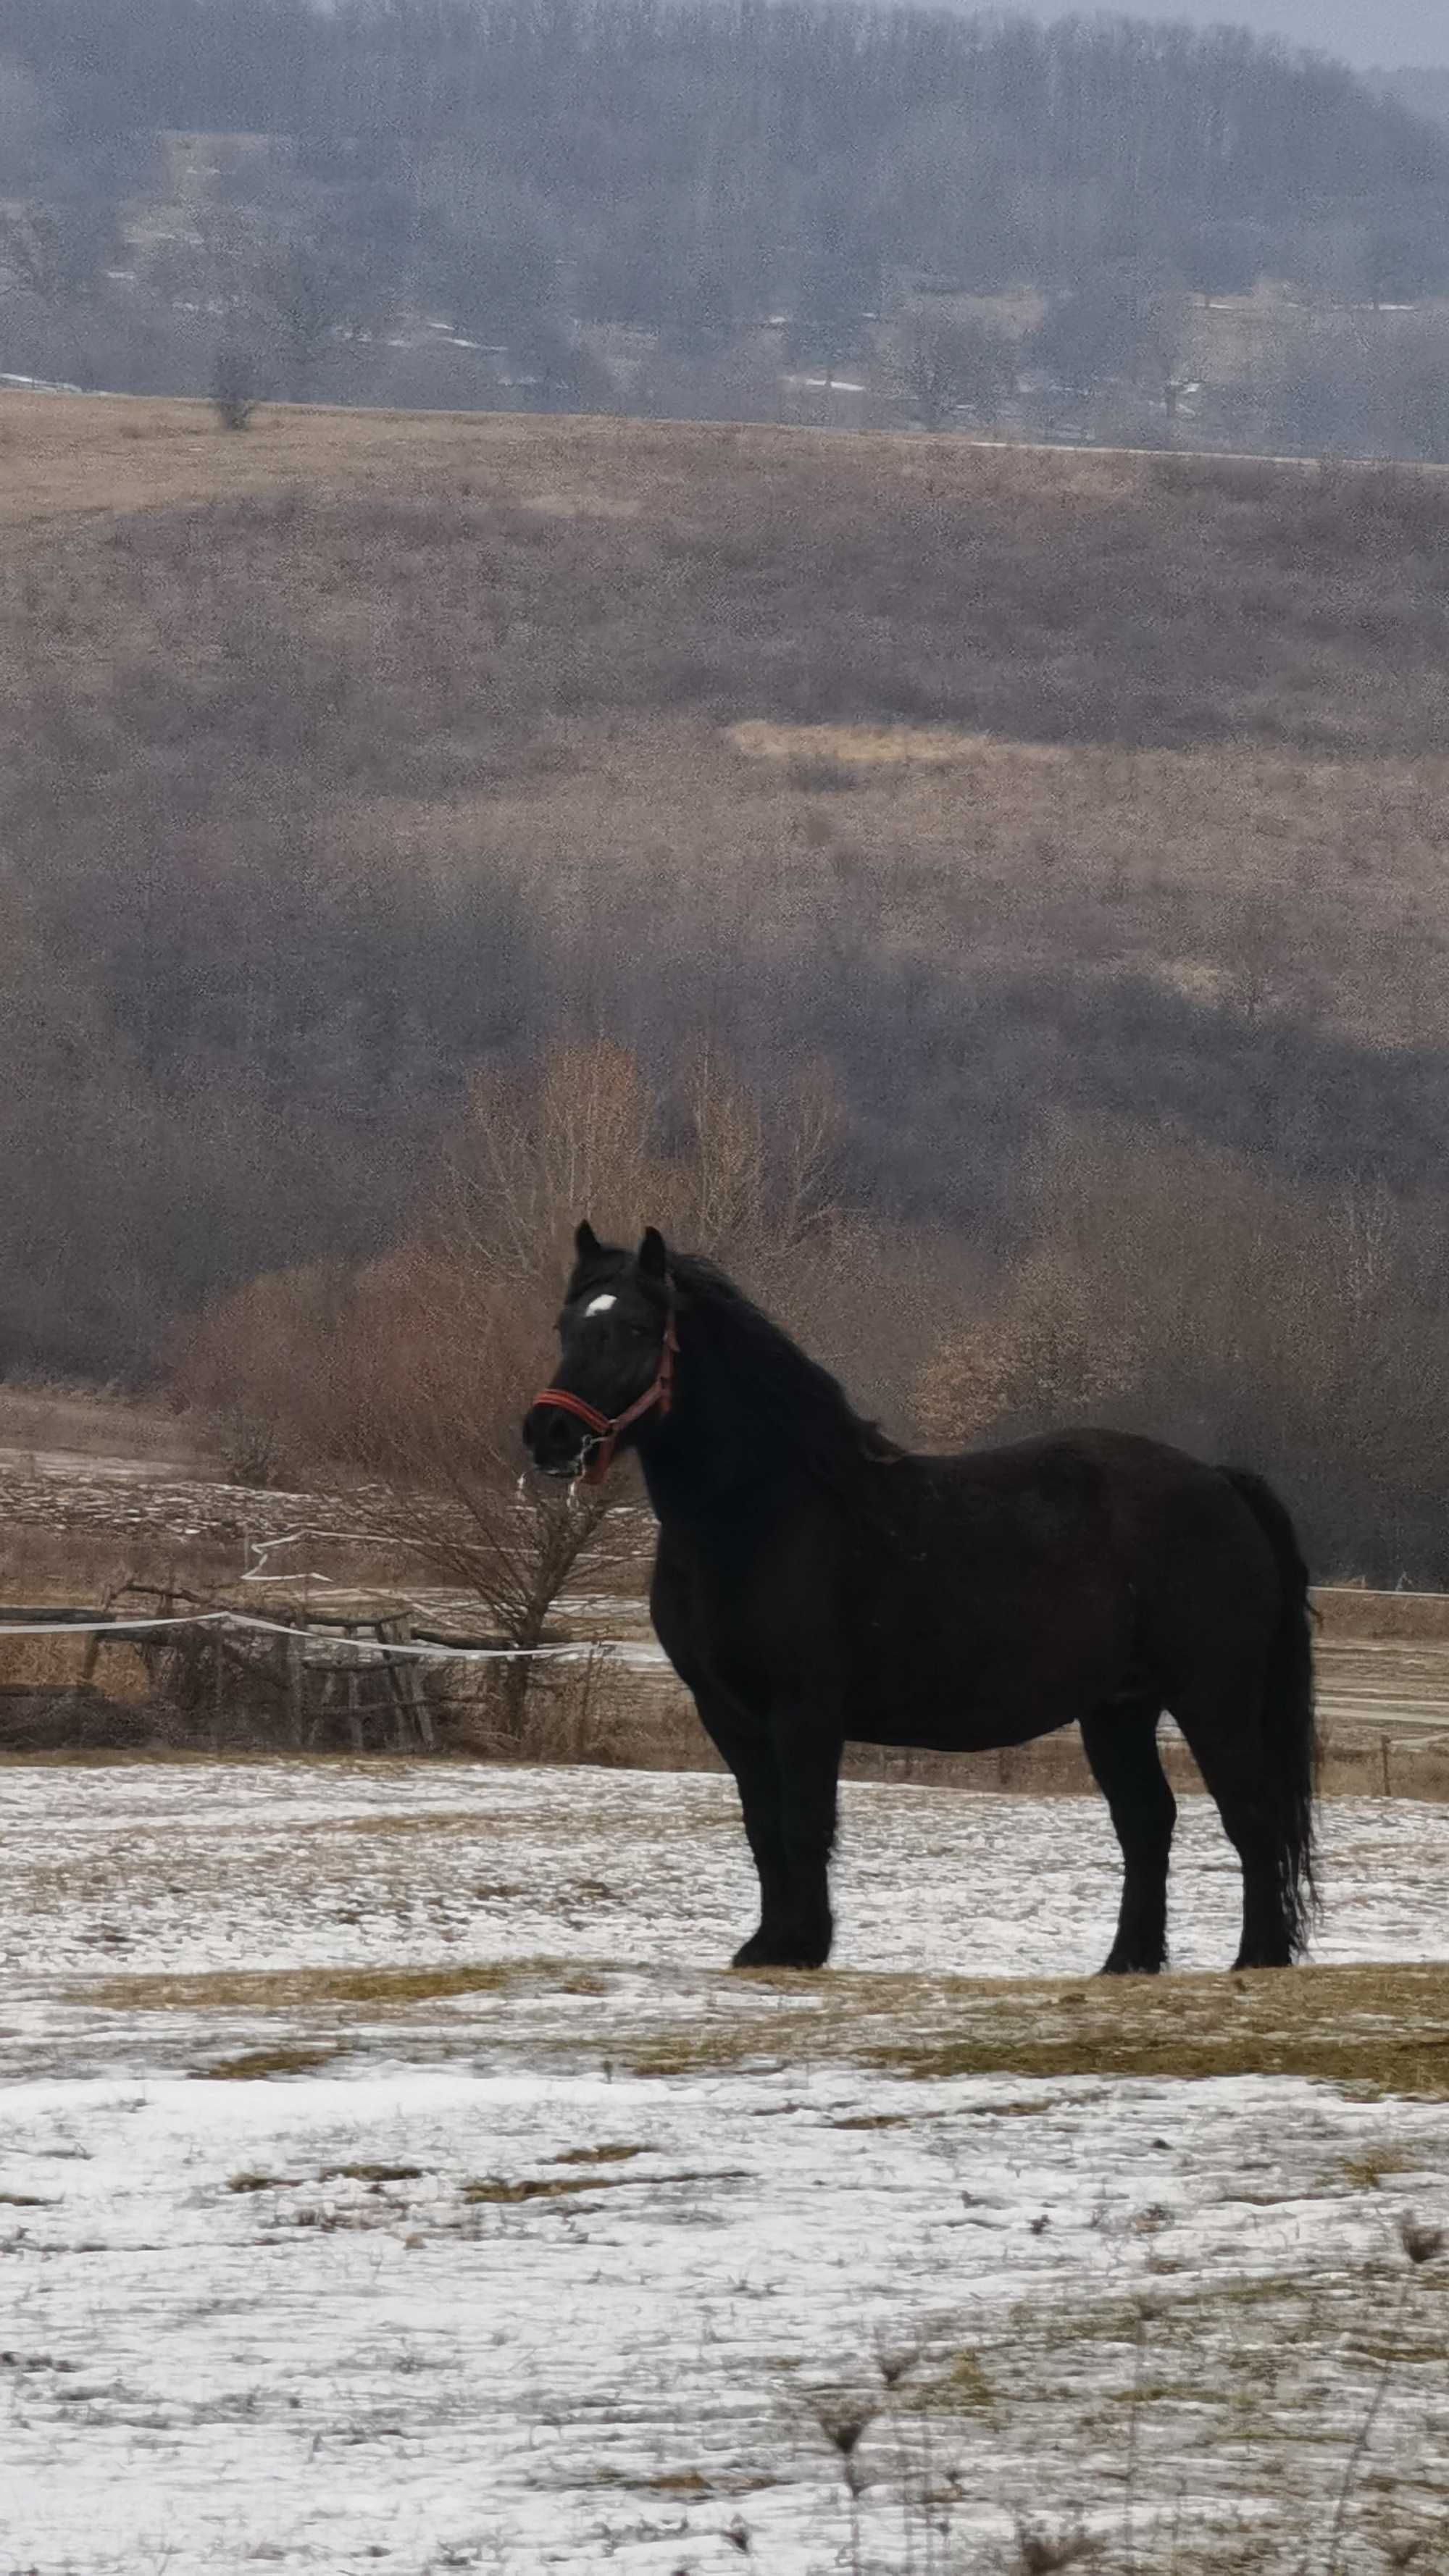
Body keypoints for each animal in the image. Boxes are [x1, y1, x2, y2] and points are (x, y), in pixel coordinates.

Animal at [520, 1226, 1309, 1967]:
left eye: (635, 1329)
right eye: (564, 1325)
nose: (548, 1433)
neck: (760, 1513)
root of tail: (1217, 1479)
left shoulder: (804, 1708)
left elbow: (803, 1823)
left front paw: (803, 1946)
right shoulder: (726, 1711)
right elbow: (762, 1826)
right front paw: (769, 1944)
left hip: (1212, 1696)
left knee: (1251, 1815)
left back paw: (1257, 1957)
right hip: (1118, 1709)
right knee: (1147, 1822)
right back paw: (1126, 1962)